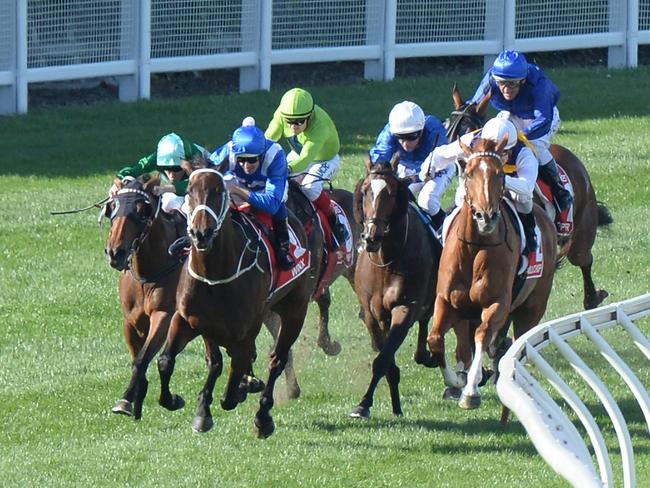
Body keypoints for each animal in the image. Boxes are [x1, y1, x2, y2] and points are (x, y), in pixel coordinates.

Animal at [103, 175, 185, 420]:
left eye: (142, 210)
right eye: (112, 207)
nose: (115, 252)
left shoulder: (164, 315)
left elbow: (142, 359)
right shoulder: (131, 320)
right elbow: (138, 356)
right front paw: (133, 398)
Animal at [153, 158, 314, 436]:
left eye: (219, 191)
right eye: (189, 191)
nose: (201, 233)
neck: (215, 276)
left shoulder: (242, 332)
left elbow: (230, 388)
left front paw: (237, 392)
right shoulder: (188, 320)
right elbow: (167, 361)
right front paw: (180, 402)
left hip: (294, 311)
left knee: (276, 360)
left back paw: (263, 416)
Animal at [346, 155, 442, 420]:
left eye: (390, 192)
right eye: (365, 191)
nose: (371, 237)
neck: (386, 262)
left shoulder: (405, 307)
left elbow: (383, 359)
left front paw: (364, 404)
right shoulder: (373, 315)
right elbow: (386, 360)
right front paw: (382, 404)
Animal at [426, 135, 556, 410]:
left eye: (500, 174)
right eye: (469, 173)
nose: (485, 217)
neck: (475, 247)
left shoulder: (497, 303)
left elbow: (483, 334)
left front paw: (470, 390)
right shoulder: (446, 300)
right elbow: (435, 339)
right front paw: (456, 380)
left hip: (532, 306)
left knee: (516, 340)